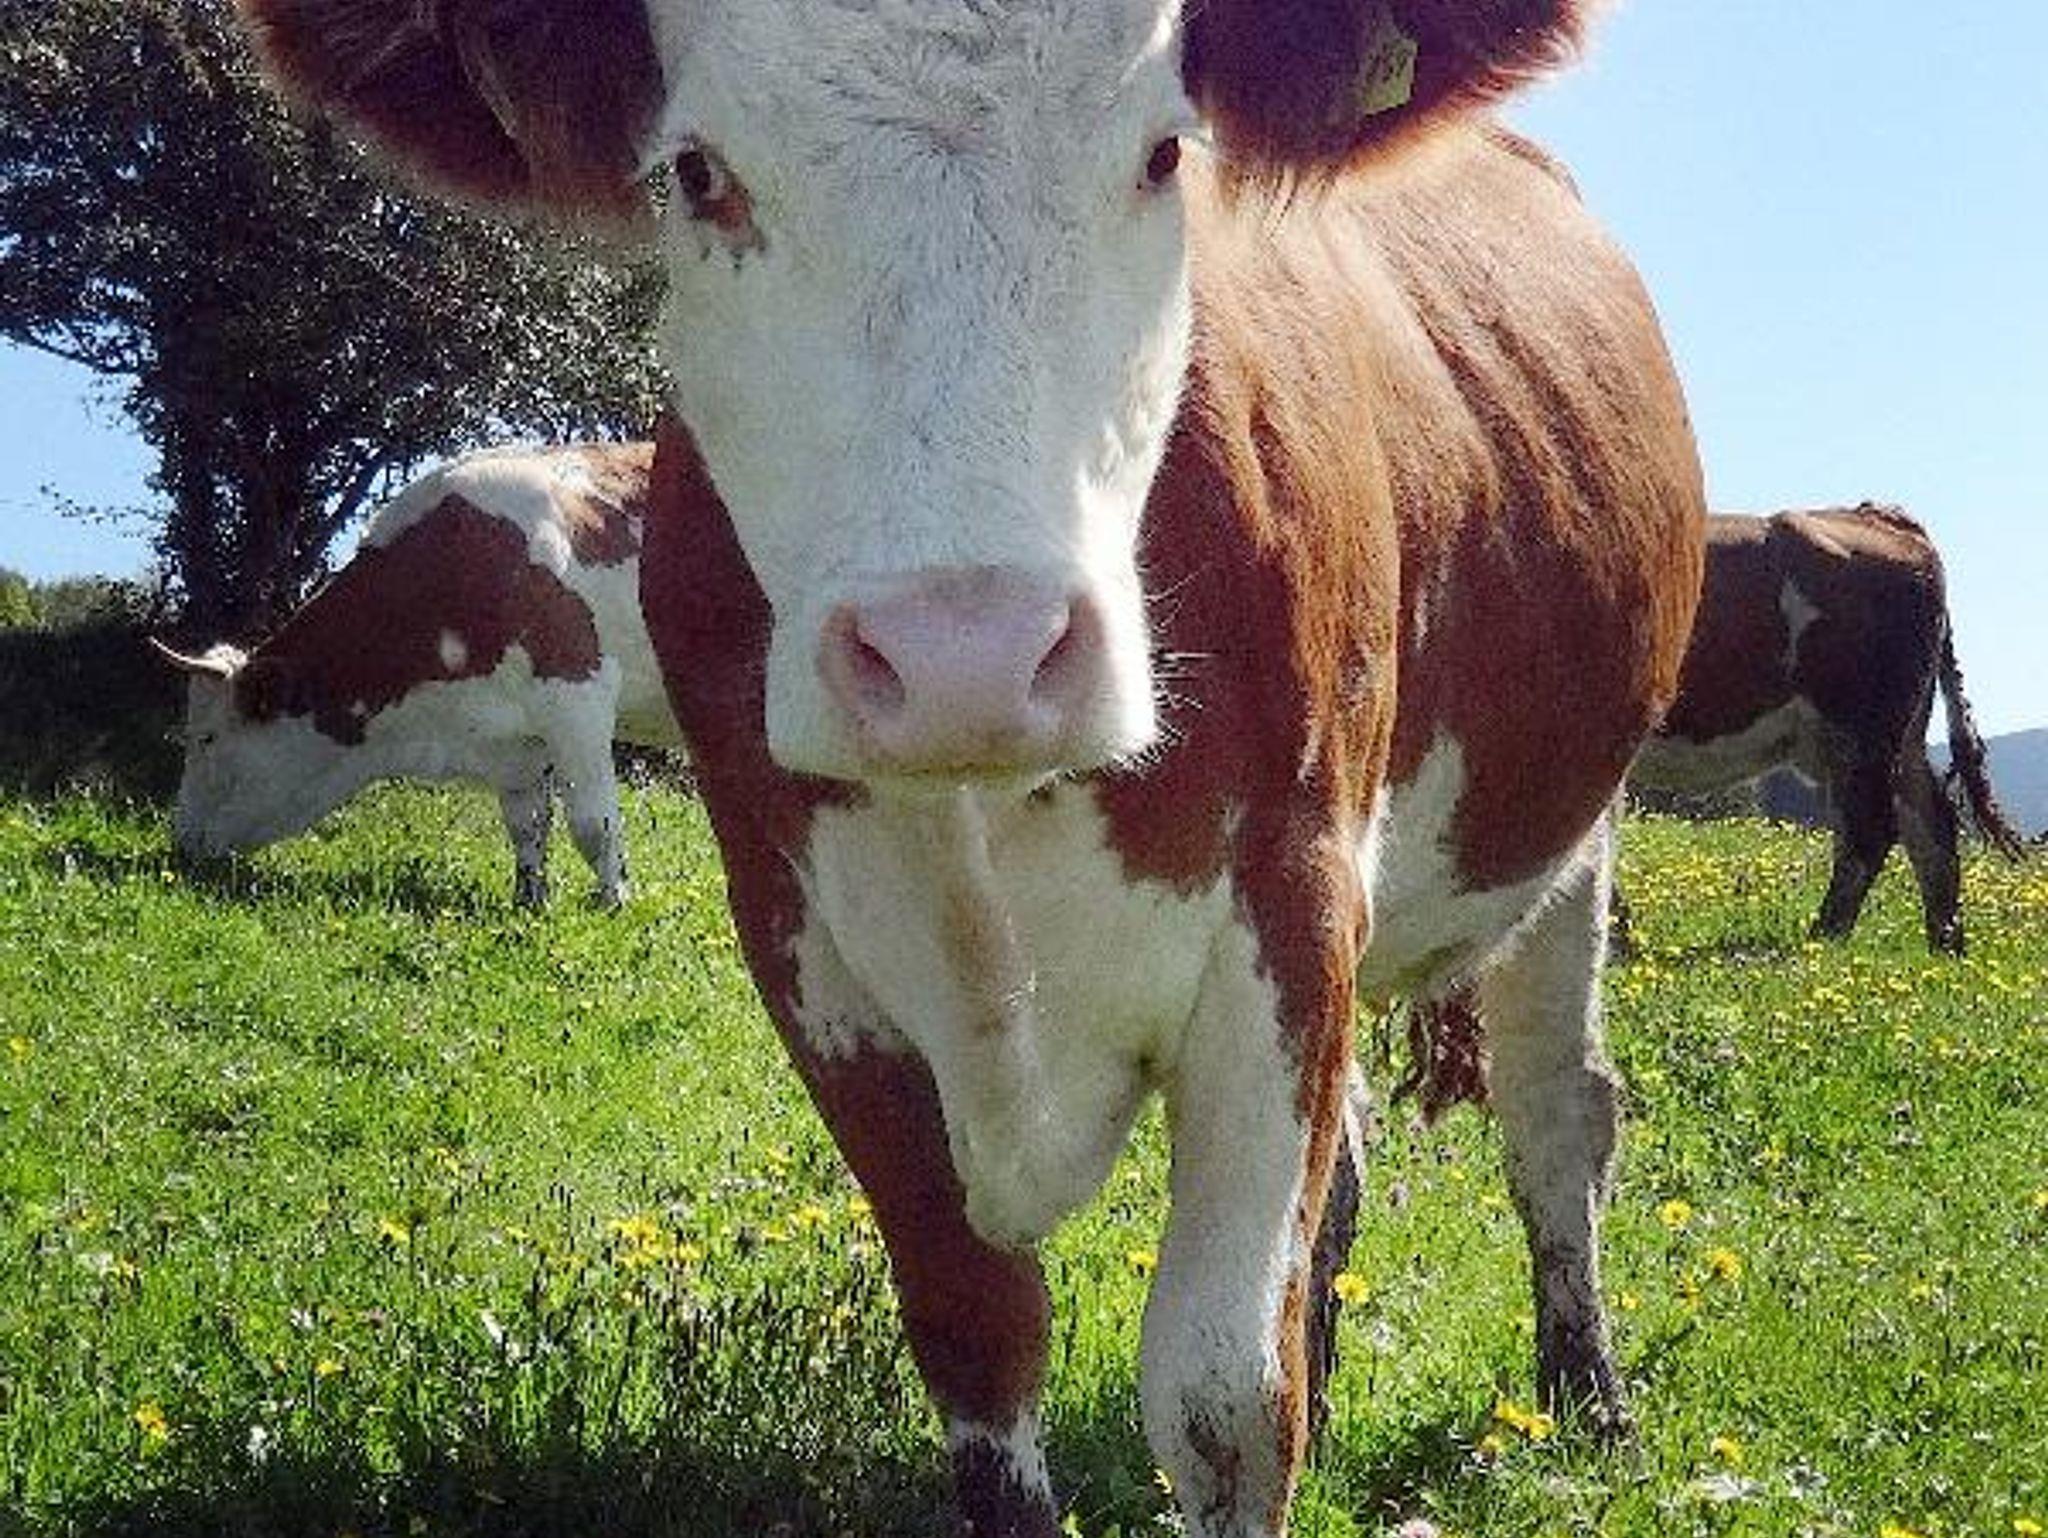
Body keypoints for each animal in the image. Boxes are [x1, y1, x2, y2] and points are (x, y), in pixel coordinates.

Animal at [160, 441, 679, 907]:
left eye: (206, 739)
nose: (181, 843)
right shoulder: (517, 738)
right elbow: (527, 825)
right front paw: (529, 903)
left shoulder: (575, 695)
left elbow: (593, 823)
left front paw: (613, 903)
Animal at [235, 1, 1706, 1531]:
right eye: (696, 173)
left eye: (1165, 150)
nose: (965, 655)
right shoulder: (804, 942)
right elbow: (977, 1330)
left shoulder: (1292, 901)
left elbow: (1225, 1394)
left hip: (1573, 827)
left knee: (1558, 1112)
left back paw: (1588, 1394)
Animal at [1632, 505, 2025, 954]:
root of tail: (1882, 515)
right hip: (1893, 739)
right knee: (1930, 822)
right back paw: (1945, 945)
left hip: (1862, 731)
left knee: (1870, 831)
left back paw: (1824, 940)